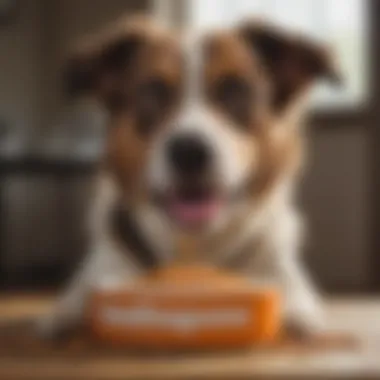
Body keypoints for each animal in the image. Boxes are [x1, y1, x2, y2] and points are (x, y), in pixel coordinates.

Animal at [37, 16, 340, 338]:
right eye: (152, 91)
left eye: (235, 90)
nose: (189, 152)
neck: (193, 252)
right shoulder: (104, 267)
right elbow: (80, 296)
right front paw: (64, 317)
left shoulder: (279, 271)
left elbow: (296, 301)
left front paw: (299, 318)